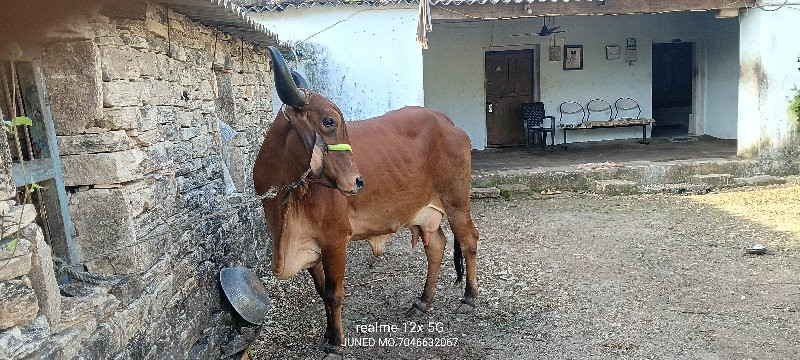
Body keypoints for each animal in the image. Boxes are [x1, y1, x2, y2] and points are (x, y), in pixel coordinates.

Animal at [256, 46, 478, 356]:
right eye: (328, 121)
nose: (357, 181)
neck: (285, 202)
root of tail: (447, 122)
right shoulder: (310, 244)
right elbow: (321, 291)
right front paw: (328, 334)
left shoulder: (335, 239)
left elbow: (334, 293)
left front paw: (336, 343)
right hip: (424, 213)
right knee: (436, 246)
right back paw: (423, 302)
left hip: (457, 204)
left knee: (469, 241)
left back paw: (469, 298)